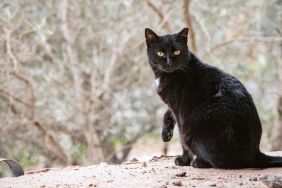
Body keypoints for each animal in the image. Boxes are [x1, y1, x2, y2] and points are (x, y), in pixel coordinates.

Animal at [144, 27, 282, 168]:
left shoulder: (180, 112)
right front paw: (166, 134)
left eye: (177, 51)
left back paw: (198, 162)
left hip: (192, 133)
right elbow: (167, 113)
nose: (169, 63)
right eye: (160, 53)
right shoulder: (173, 106)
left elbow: (182, 141)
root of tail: (255, 154)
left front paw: (183, 161)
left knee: (223, 162)